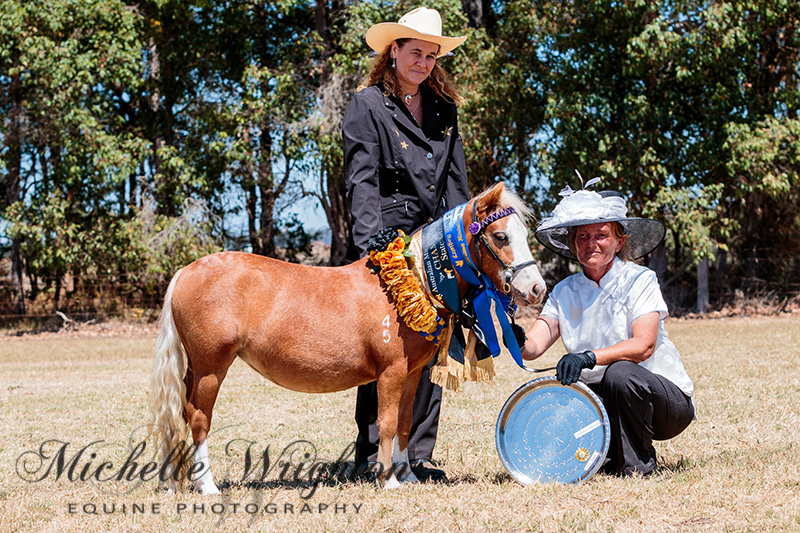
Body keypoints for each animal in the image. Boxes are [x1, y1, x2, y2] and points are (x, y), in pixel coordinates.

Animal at [148, 183, 548, 494]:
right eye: (500, 236)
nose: (537, 289)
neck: (413, 280)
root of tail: (186, 271)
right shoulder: (390, 372)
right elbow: (385, 422)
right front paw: (388, 480)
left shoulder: (411, 374)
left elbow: (404, 423)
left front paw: (407, 476)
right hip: (211, 366)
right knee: (199, 418)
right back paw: (208, 486)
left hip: (194, 369)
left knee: (183, 413)